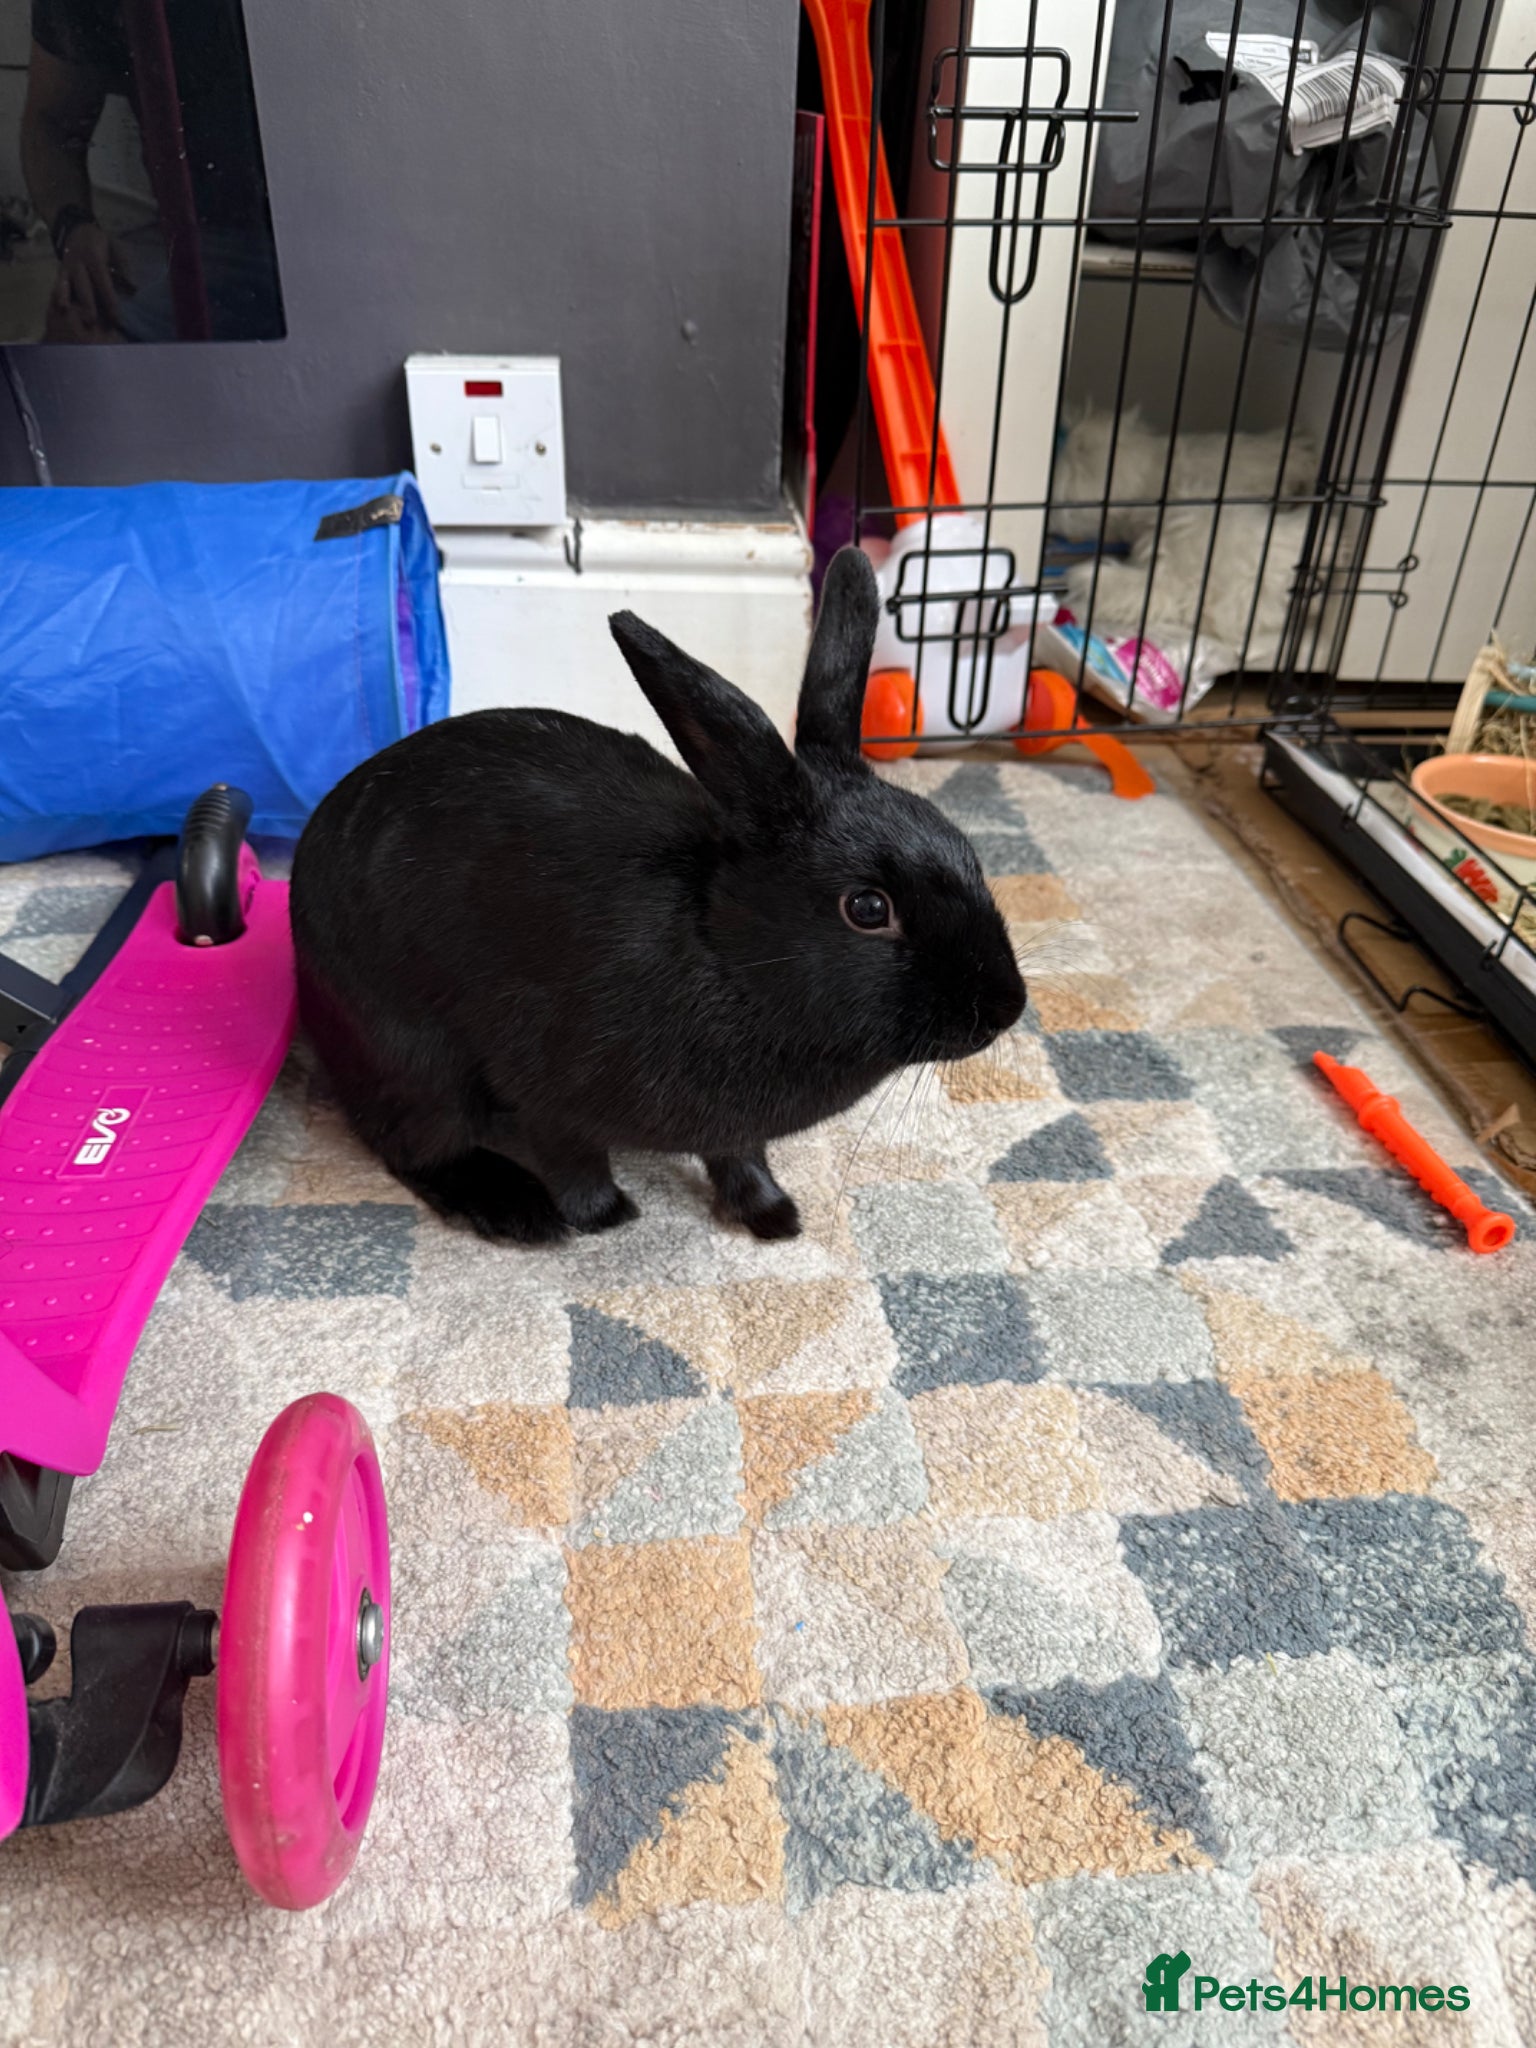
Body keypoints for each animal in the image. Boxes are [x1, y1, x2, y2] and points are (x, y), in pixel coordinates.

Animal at [289, 546, 1026, 1246]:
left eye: (965, 846)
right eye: (868, 908)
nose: (1006, 1008)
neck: (732, 959)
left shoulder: (733, 1129)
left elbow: (739, 1156)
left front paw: (774, 1217)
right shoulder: (545, 1088)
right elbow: (573, 1157)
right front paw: (603, 1216)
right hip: (415, 1059)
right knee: (416, 1148)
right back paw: (520, 1214)